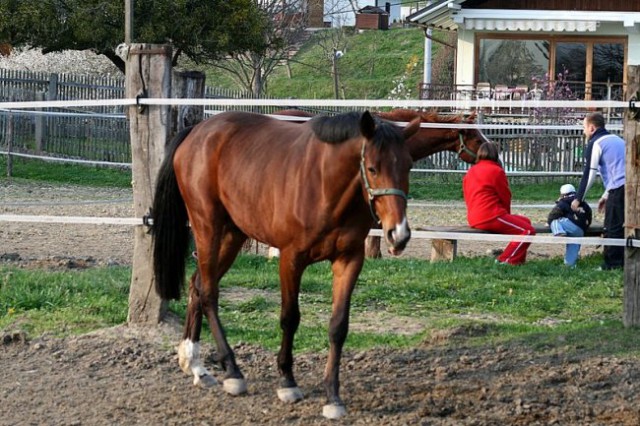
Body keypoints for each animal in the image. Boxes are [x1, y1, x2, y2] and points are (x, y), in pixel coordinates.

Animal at [150, 110, 420, 420]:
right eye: (373, 168)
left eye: (409, 166)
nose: (398, 234)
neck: (325, 184)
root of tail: (196, 132)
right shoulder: (291, 259)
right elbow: (290, 318)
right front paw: (287, 382)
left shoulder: (349, 260)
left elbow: (338, 326)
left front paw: (332, 396)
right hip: (208, 228)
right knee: (208, 293)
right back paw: (232, 371)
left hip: (233, 235)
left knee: (198, 285)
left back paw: (194, 364)